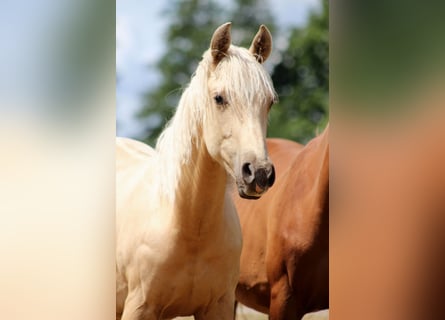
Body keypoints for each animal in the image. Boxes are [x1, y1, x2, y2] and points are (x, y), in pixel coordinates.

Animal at [115, 23, 274, 320]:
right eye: (219, 98)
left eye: (269, 102)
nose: (259, 174)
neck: (189, 225)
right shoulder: (139, 307)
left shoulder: (218, 307)